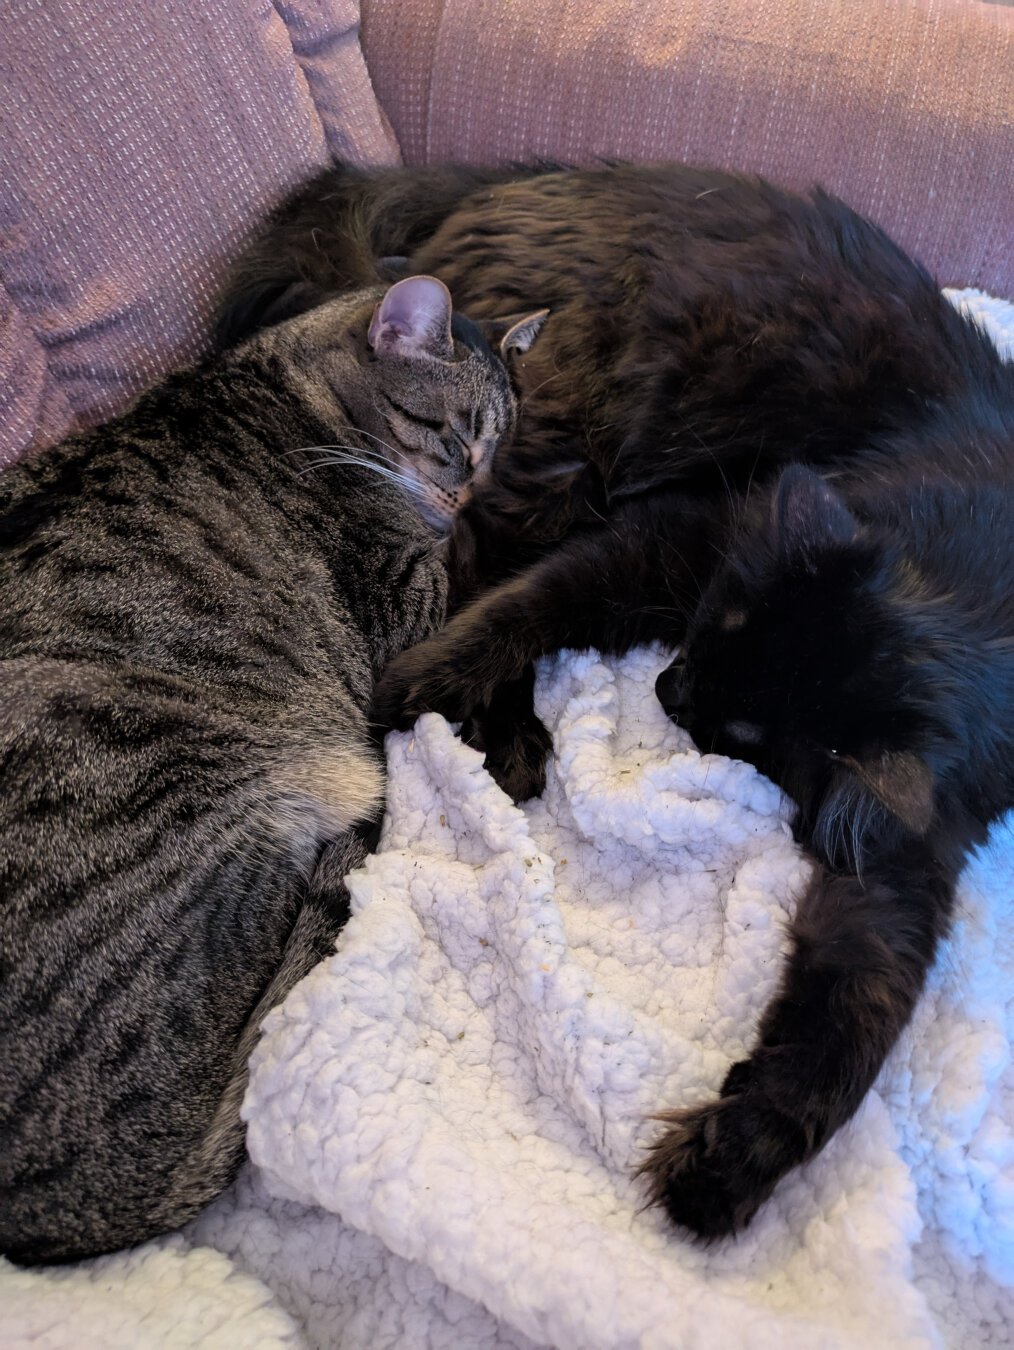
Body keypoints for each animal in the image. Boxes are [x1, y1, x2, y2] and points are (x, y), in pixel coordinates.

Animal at [0, 274, 548, 1263]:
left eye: (494, 448)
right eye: (449, 432)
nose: (467, 494)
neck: (290, 383)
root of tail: (60, 1214)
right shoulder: (405, 603)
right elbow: (462, 576)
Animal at [220, 155, 1014, 1236]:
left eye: (746, 729)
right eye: (713, 634)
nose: (669, 685)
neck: (970, 600)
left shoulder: (904, 858)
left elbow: (853, 1016)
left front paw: (732, 1162)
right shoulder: (684, 537)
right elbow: (530, 604)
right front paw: (426, 680)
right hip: (551, 456)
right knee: (464, 552)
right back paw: (505, 738)